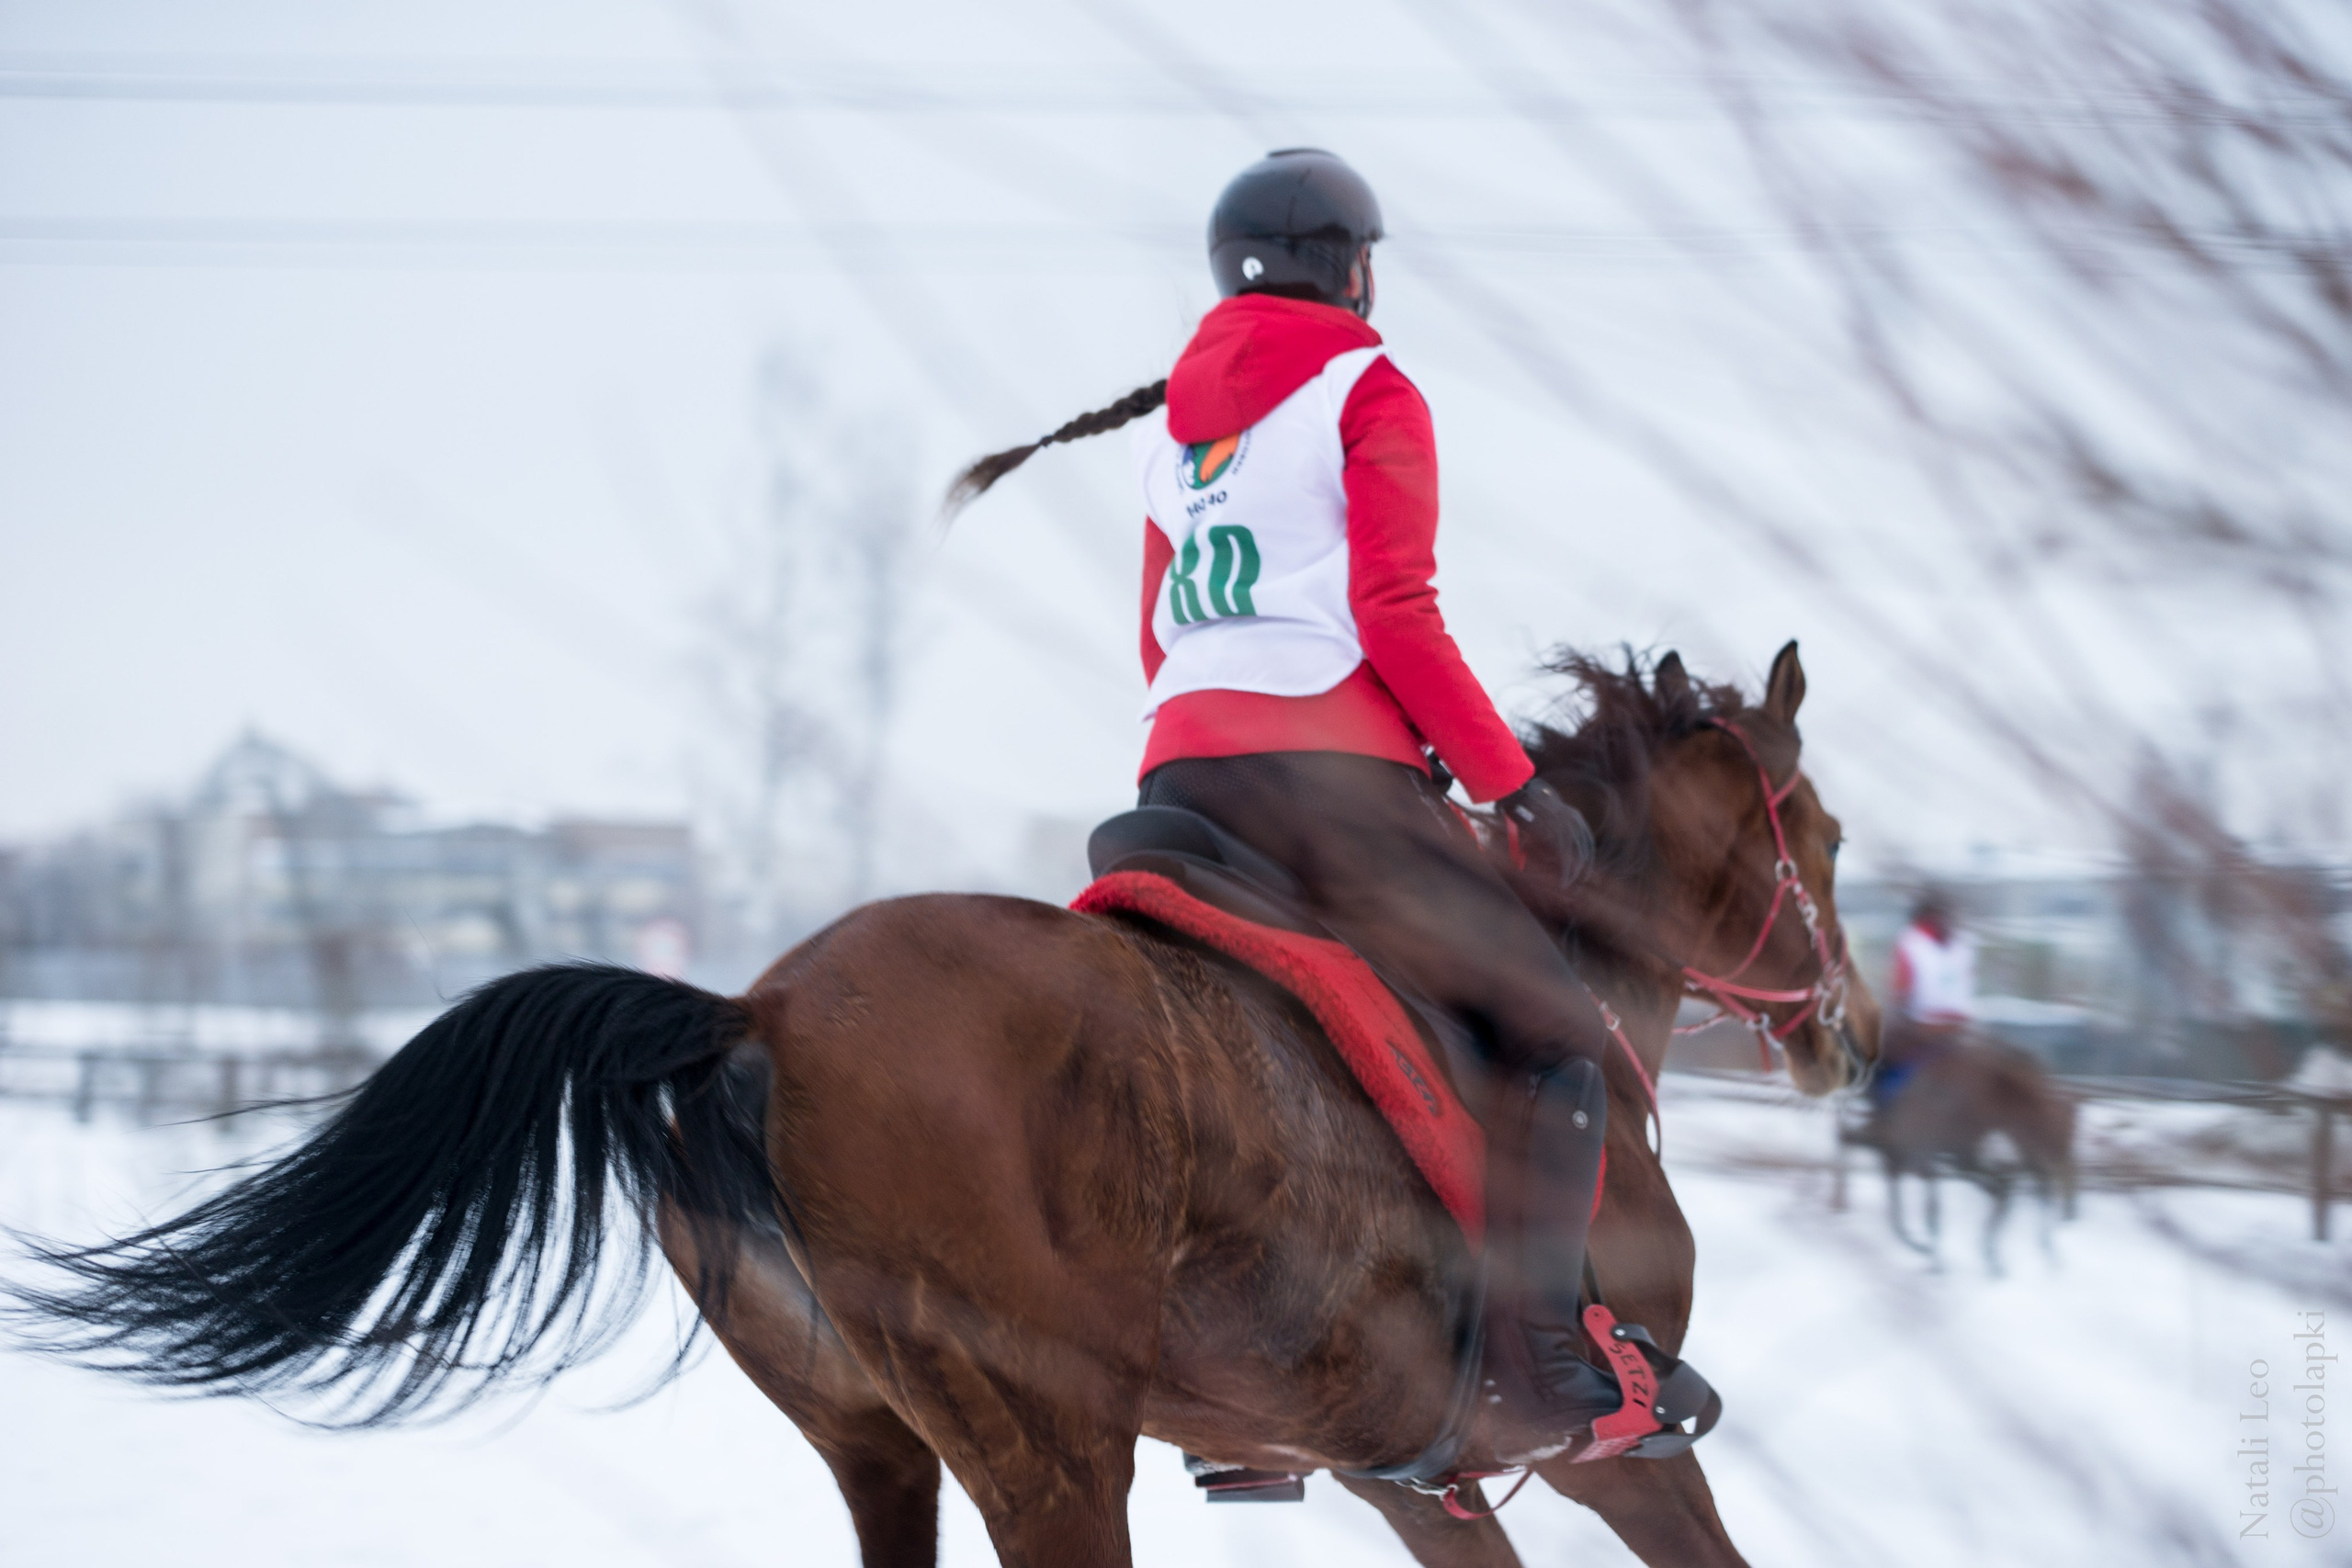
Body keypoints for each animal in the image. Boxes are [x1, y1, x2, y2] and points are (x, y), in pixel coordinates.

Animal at [8, 642, 1879, 1568]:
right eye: (1829, 832)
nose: (1850, 1037)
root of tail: (754, 1011)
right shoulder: (1604, 1462)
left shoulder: (1418, 1481)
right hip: (1052, 1452)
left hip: (880, 1441)